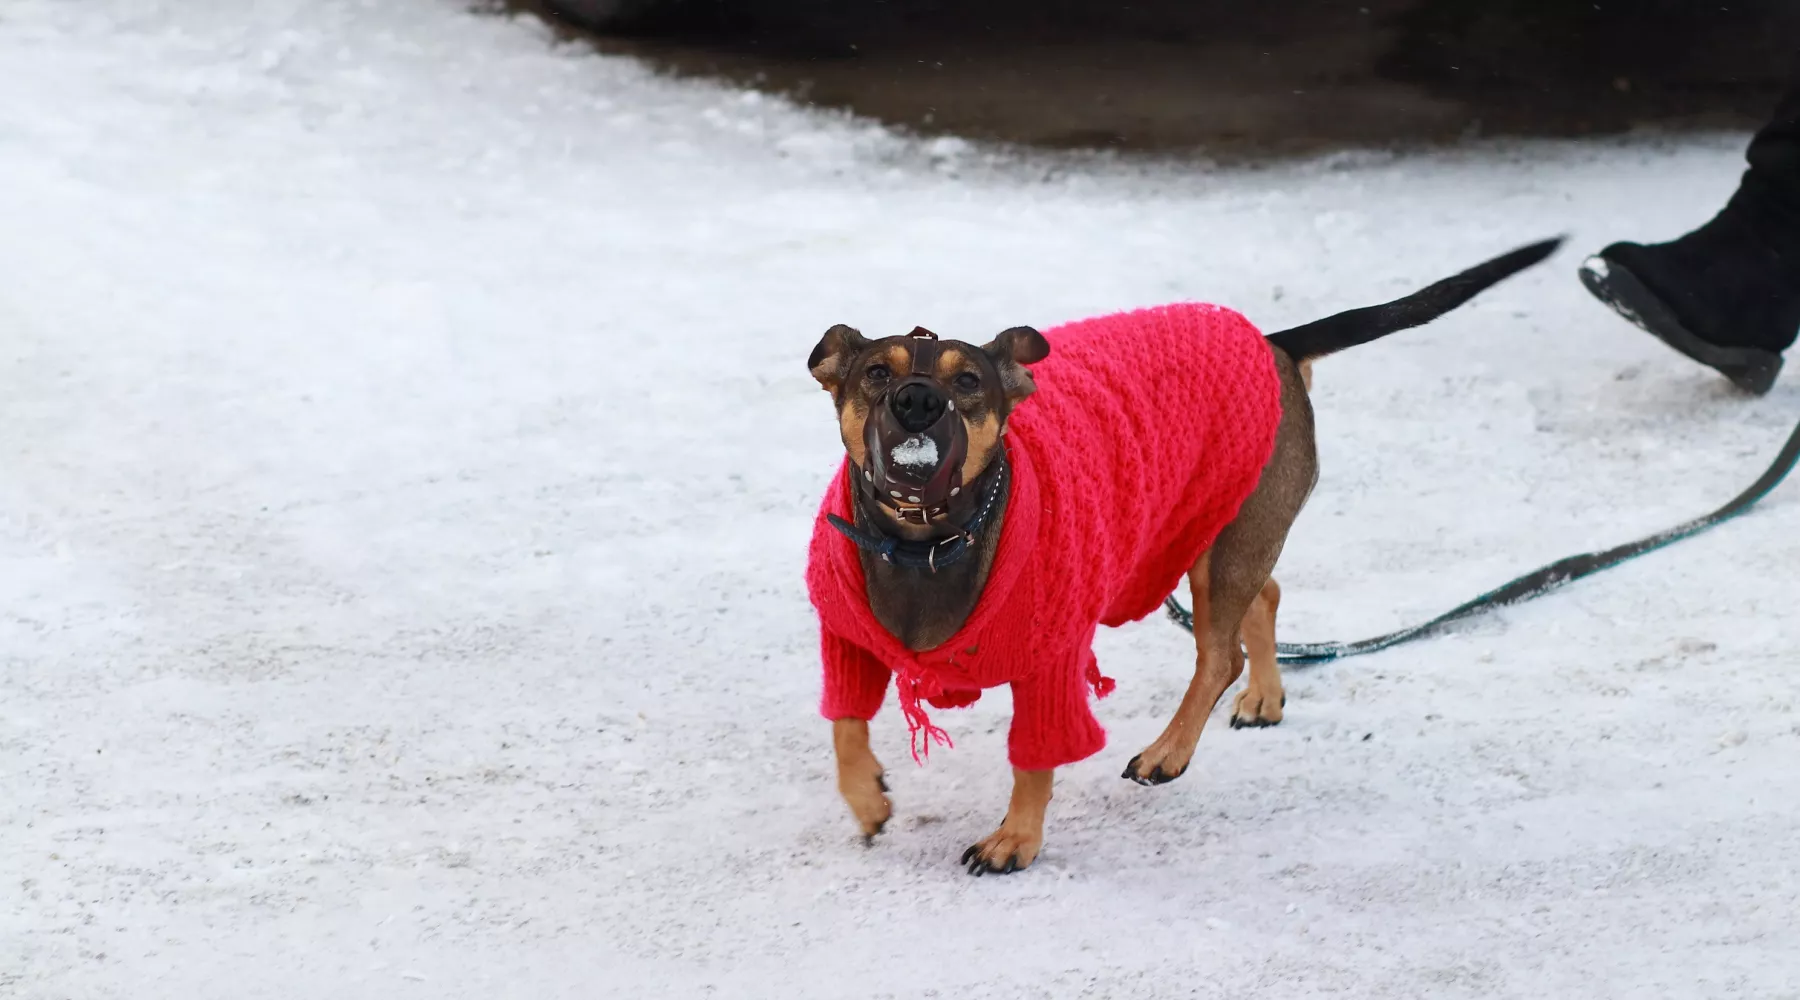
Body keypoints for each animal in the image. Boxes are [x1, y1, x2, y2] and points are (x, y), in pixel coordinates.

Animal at [802, 235, 1562, 874]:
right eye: (875, 371)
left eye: (968, 382)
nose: (917, 400)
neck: (925, 541)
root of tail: (1273, 343)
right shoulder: (846, 635)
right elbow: (845, 725)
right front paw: (867, 798)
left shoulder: (1053, 663)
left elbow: (1034, 760)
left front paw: (1014, 839)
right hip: (1224, 532)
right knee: (1266, 597)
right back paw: (1264, 696)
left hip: (1225, 540)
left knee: (1220, 654)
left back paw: (1169, 752)